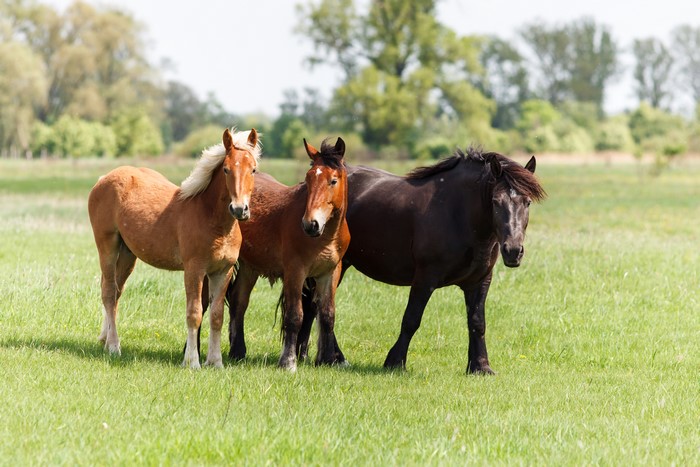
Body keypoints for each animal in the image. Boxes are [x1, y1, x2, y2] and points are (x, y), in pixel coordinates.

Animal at [87, 128, 260, 369]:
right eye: (226, 169)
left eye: (253, 169)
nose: (239, 209)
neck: (213, 220)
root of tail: (103, 179)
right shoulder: (194, 270)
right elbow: (194, 313)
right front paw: (192, 361)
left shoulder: (222, 271)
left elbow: (217, 316)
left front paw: (215, 362)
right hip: (108, 247)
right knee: (108, 293)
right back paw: (114, 346)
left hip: (128, 255)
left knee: (115, 291)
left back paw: (105, 340)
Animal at [287, 147, 545, 374]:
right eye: (495, 202)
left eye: (527, 202)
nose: (513, 250)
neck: (457, 213)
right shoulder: (425, 278)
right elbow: (411, 319)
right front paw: (395, 362)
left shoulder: (480, 281)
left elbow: (477, 323)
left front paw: (480, 366)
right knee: (318, 305)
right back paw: (330, 357)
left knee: (314, 305)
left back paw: (306, 354)